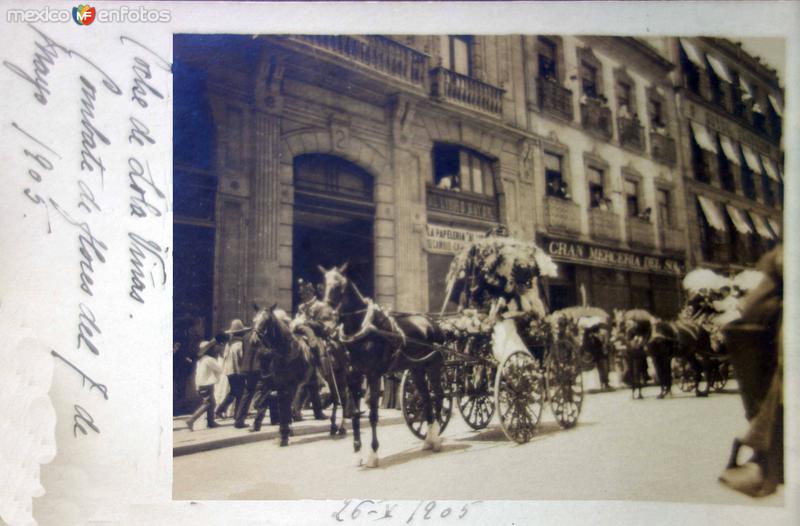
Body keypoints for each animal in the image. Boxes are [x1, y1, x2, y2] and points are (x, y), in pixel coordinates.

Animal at [255, 306, 320, 446]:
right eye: (254, 319)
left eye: (267, 320)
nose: (256, 339)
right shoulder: (275, 384)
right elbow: (280, 406)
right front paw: (284, 433)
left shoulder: (288, 386)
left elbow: (284, 407)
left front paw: (283, 435)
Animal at [322, 264, 446, 470]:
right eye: (323, 284)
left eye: (339, 286)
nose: (326, 316)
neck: (361, 329)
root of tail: (432, 322)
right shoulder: (353, 375)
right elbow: (354, 412)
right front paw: (357, 453)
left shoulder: (373, 374)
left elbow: (373, 413)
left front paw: (373, 454)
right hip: (417, 369)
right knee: (426, 398)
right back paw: (428, 440)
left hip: (434, 366)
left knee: (438, 397)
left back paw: (436, 438)